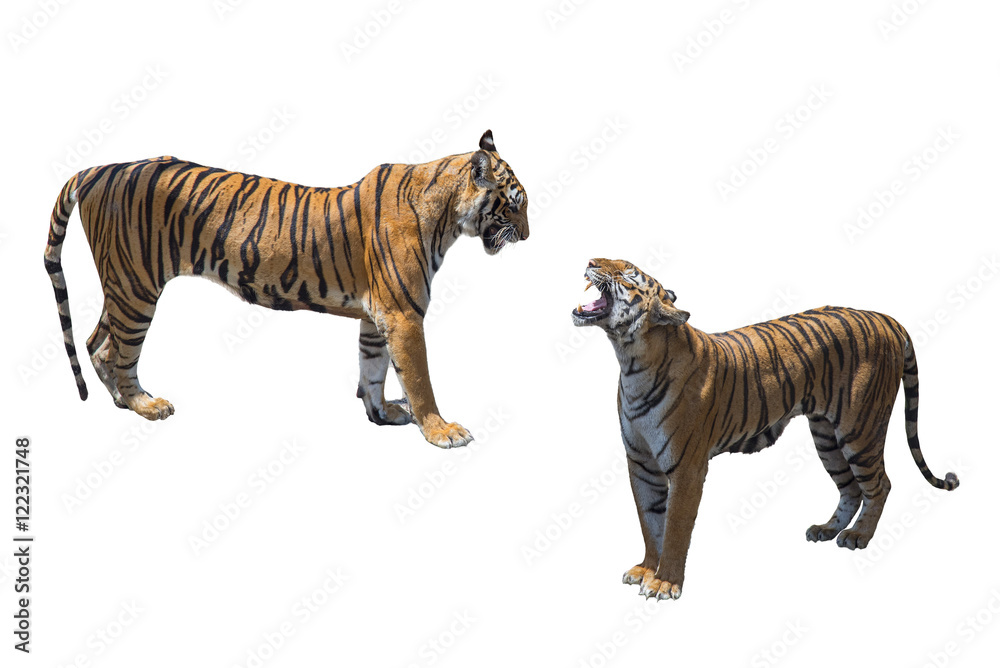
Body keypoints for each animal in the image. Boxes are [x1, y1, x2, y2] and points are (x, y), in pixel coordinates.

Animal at [44, 130, 528, 448]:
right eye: (515, 204)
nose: (527, 235)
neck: (447, 217)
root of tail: (100, 168)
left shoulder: (378, 316)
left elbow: (373, 368)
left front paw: (382, 414)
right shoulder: (404, 315)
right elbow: (419, 377)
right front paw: (441, 430)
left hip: (122, 283)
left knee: (96, 341)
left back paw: (120, 402)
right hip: (136, 287)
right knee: (118, 350)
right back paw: (144, 404)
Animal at [571, 258, 959, 600]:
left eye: (627, 273)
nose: (590, 260)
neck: (631, 360)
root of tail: (887, 318)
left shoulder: (687, 467)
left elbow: (675, 527)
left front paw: (665, 583)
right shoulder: (640, 463)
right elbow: (650, 522)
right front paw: (645, 570)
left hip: (859, 428)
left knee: (879, 484)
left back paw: (858, 536)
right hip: (826, 436)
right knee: (850, 487)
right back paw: (827, 529)